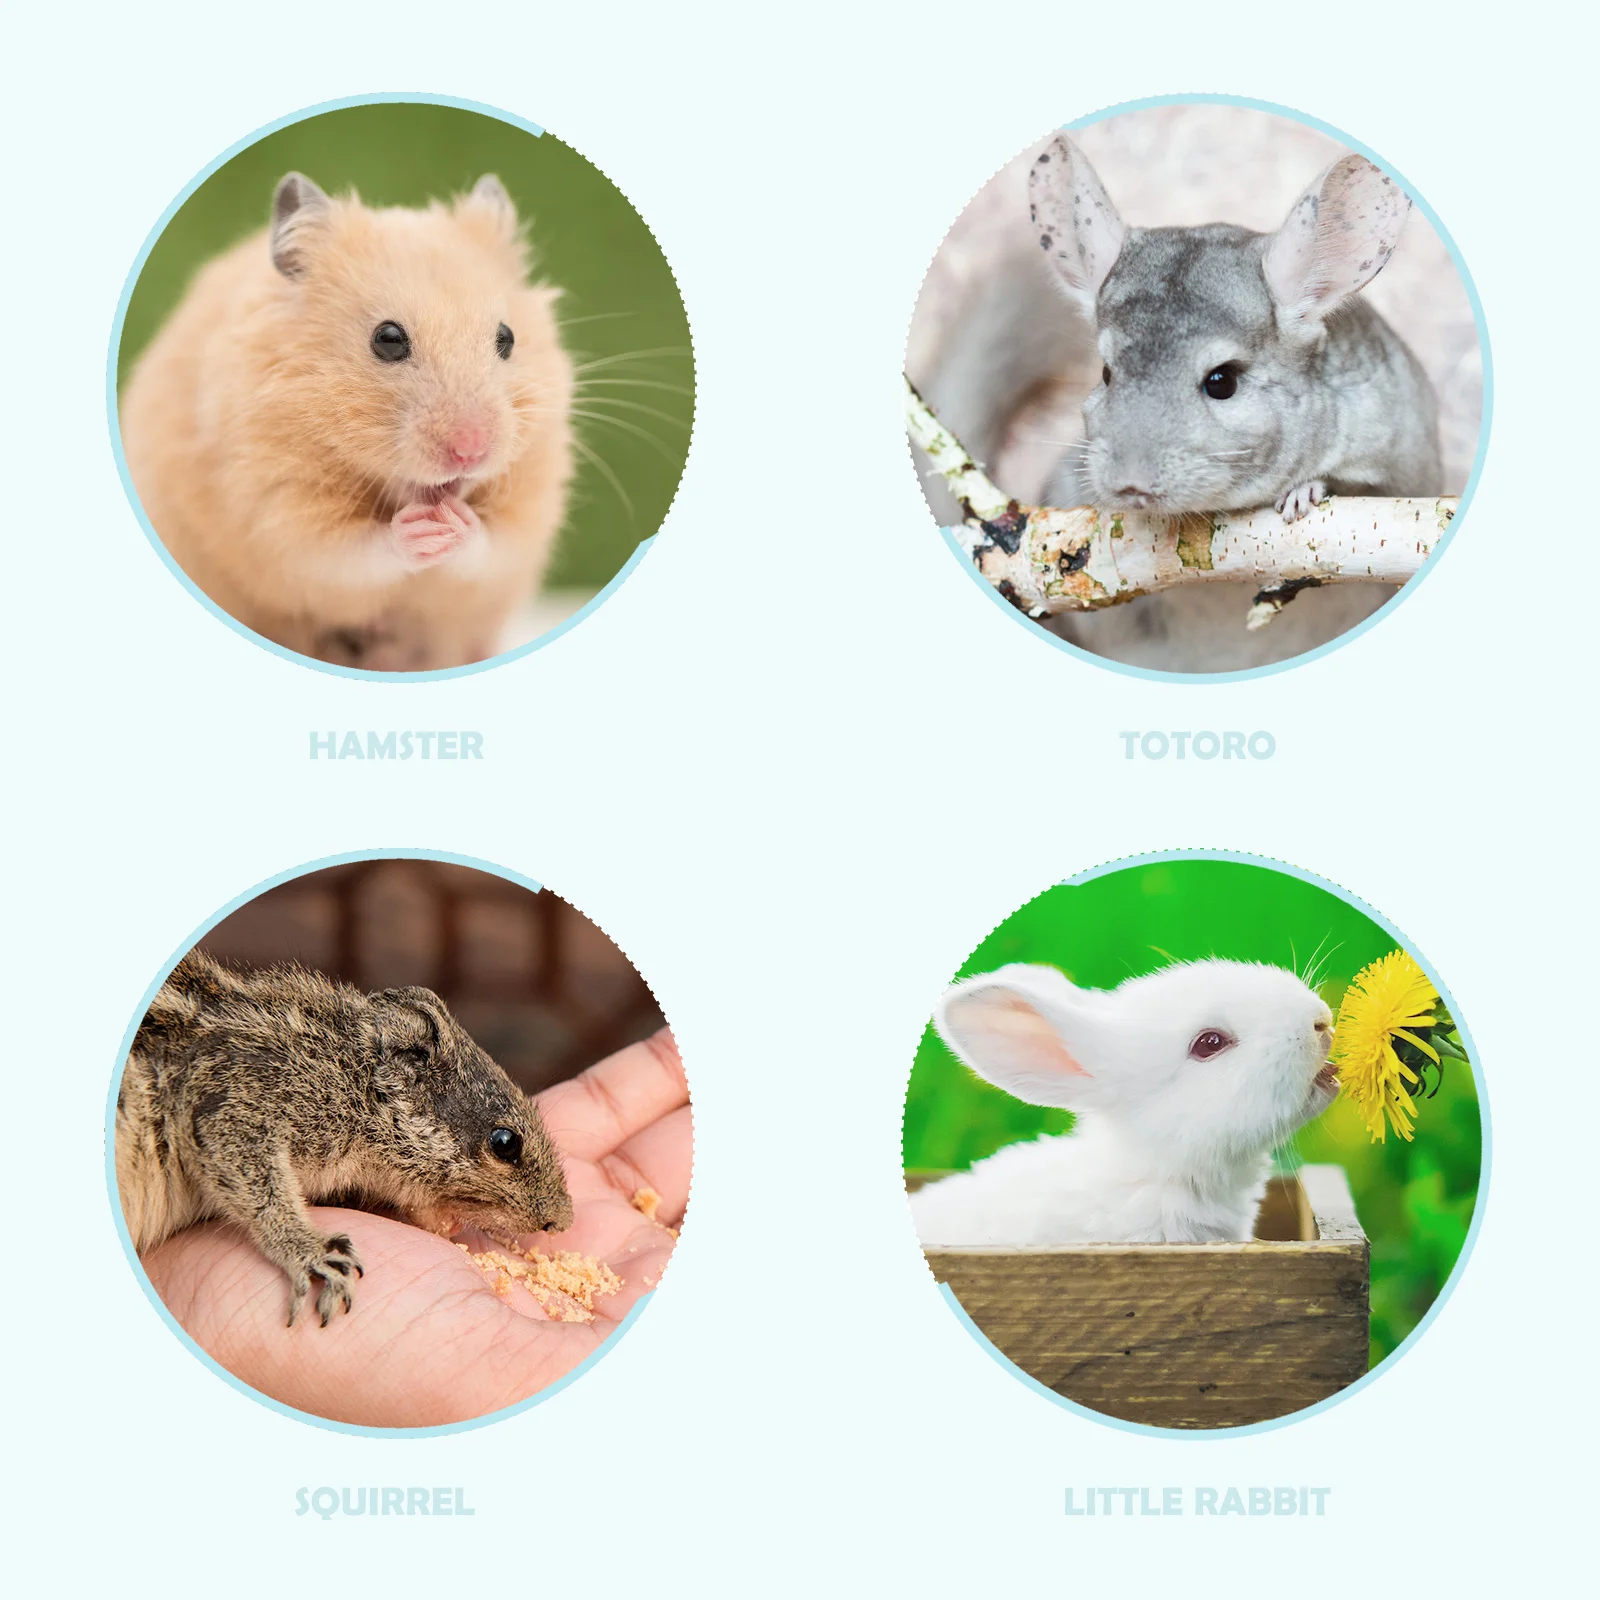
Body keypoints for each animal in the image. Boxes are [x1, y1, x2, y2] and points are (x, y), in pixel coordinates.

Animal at [115, 949, 574, 1326]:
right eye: (505, 1142)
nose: (562, 1222)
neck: (348, 1071)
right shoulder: (235, 1100)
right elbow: (260, 1188)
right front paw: (310, 1252)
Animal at [120, 172, 574, 671]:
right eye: (388, 339)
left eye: (506, 338)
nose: (471, 450)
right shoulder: (276, 510)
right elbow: (350, 554)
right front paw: (420, 529)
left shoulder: (532, 507)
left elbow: (491, 546)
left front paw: (457, 525)